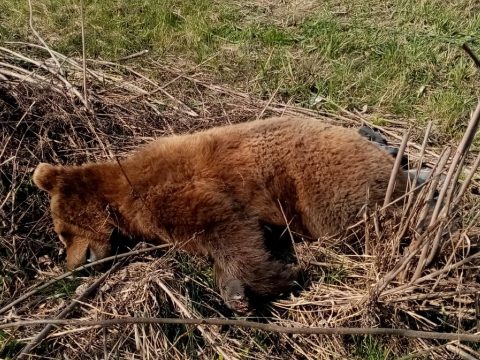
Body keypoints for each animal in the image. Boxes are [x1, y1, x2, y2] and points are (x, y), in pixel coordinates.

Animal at [31, 116, 406, 314]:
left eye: (63, 232)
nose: (71, 265)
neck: (121, 197)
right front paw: (238, 294)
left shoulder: (177, 194)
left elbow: (228, 229)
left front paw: (282, 276)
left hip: (326, 186)